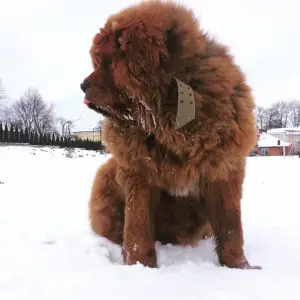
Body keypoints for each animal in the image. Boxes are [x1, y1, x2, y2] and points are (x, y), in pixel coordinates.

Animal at [81, 0, 260, 270]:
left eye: (107, 62)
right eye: (97, 60)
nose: (82, 85)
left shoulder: (224, 168)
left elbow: (231, 226)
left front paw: (240, 267)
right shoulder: (138, 172)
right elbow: (138, 226)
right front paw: (141, 266)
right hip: (106, 173)